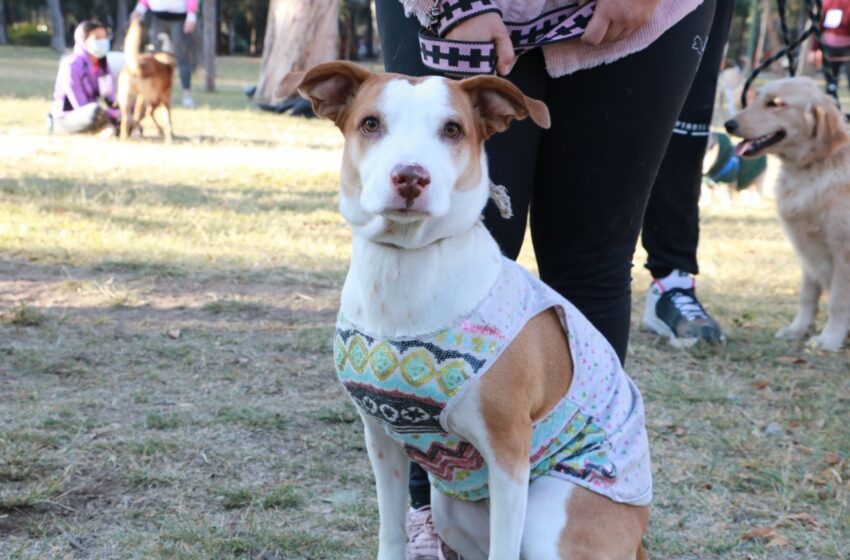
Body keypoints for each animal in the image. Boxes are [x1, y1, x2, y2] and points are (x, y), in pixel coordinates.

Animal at [284, 62, 648, 560]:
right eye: (371, 124)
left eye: (452, 129)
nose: (410, 177)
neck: (406, 266)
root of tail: (640, 534)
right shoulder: (380, 437)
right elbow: (390, 531)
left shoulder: (509, 452)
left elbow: (504, 550)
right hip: (449, 508)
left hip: (548, 518)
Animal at [724, 79, 848, 350]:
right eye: (756, 98)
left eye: (775, 104)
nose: (728, 125)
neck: (810, 167)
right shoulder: (807, 249)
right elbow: (807, 295)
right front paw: (798, 329)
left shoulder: (843, 251)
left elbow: (838, 301)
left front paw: (830, 338)